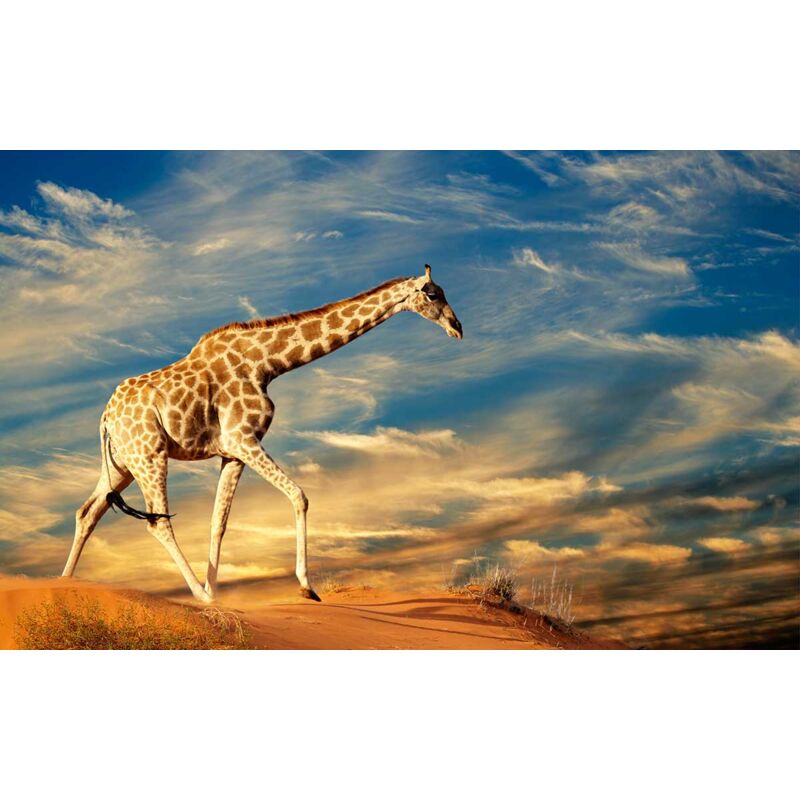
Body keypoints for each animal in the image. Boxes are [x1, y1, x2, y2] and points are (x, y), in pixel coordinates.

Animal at [62, 265, 463, 603]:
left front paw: (217, 591)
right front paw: (305, 587)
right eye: (432, 294)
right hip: (150, 455)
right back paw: (198, 596)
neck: (268, 364)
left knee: (87, 512)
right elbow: (299, 495)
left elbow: (219, 522)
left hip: (122, 464)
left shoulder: (231, 453)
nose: (457, 327)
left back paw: (65, 582)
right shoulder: (243, 438)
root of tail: (105, 417)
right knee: (157, 521)